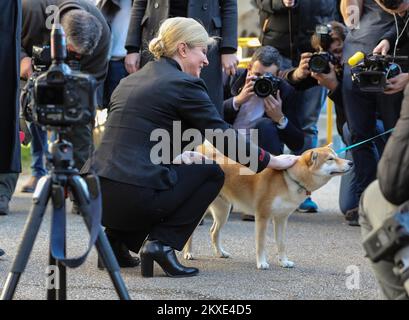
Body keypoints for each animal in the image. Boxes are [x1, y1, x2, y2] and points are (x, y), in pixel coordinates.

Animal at [183, 145, 352, 270]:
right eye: (330, 159)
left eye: (337, 156)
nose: (350, 162)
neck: (288, 179)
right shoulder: (262, 217)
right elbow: (261, 243)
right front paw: (262, 263)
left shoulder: (281, 219)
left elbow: (281, 243)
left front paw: (284, 261)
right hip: (203, 210)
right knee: (190, 233)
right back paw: (188, 253)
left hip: (223, 212)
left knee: (214, 232)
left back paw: (220, 253)